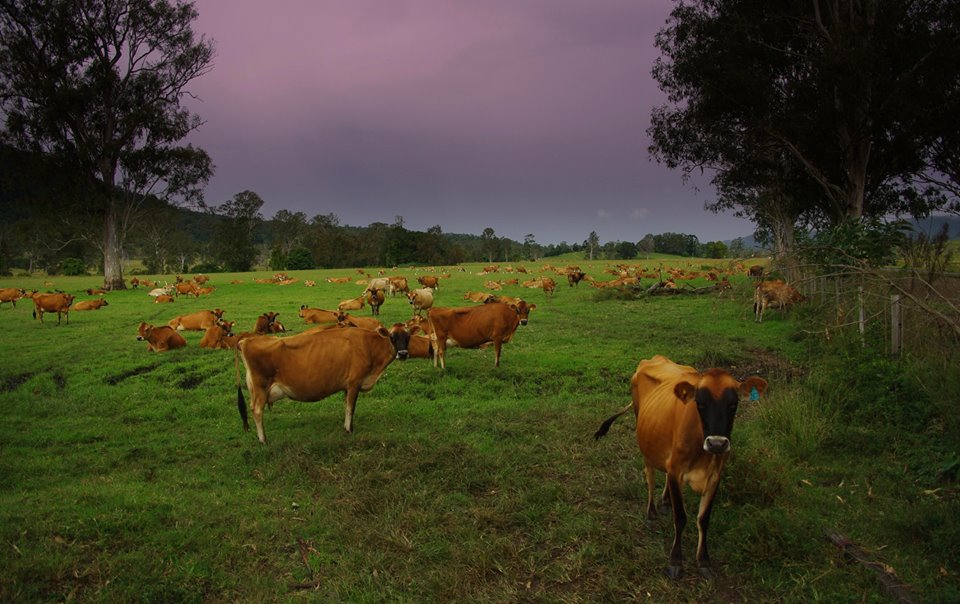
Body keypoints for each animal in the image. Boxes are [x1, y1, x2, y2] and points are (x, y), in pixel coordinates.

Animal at [236, 324, 412, 442]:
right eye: (392, 337)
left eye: (408, 337)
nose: (403, 354)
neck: (368, 344)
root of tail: (246, 340)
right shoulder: (354, 382)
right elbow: (351, 408)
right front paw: (349, 430)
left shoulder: (347, 386)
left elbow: (346, 406)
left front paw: (346, 427)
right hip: (261, 387)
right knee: (257, 410)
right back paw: (263, 440)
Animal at [596, 356, 768, 580]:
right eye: (700, 404)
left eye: (733, 404)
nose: (717, 443)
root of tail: (653, 359)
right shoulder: (677, 470)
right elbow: (681, 517)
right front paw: (675, 560)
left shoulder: (714, 475)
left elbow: (703, 519)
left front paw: (703, 560)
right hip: (644, 437)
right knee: (650, 474)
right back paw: (651, 513)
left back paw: (665, 502)